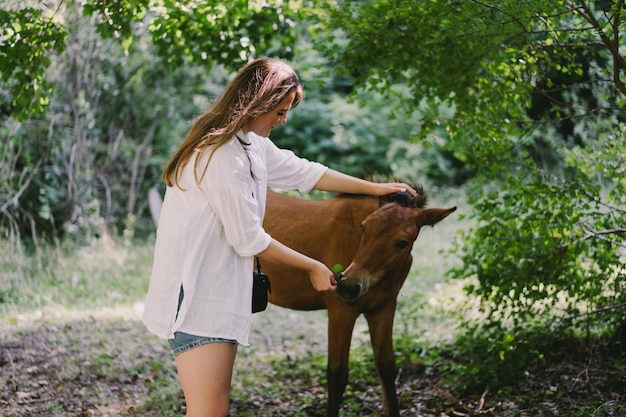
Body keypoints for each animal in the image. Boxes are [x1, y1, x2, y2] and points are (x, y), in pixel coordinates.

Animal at [258, 186, 454, 416]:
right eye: (364, 227)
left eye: (402, 243)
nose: (348, 286)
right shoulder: (341, 311)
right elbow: (337, 375)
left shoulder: (383, 309)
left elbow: (386, 367)